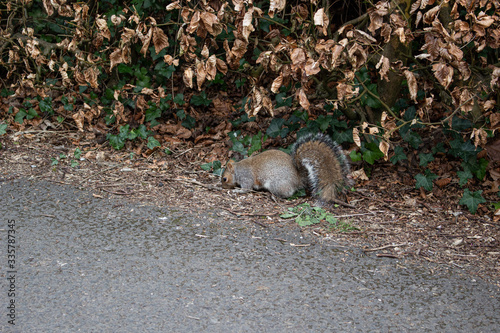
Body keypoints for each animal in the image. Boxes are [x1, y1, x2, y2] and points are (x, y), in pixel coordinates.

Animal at [223, 132, 352, 202]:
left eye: (224, 179)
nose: (222, 186)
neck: (237, 170)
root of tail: (298, 179)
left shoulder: (246, 177)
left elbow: (247, 188)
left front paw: (238, 190)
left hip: (276, 184)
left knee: (287, 193)